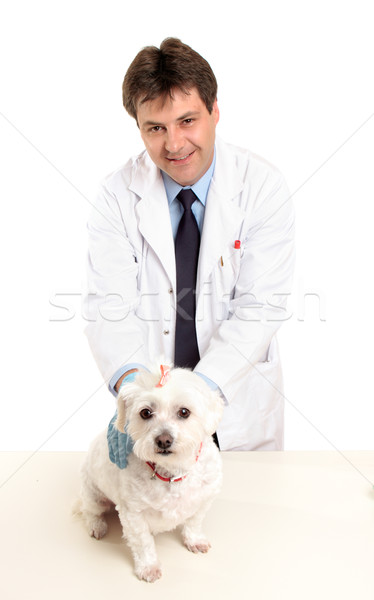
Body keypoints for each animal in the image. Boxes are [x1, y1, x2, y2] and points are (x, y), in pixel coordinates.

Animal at [75, 364, 224, 584]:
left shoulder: (204, 499)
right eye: (145, 412)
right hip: (94, 495)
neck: (172, 472)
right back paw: (97, 525)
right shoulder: (133, 515)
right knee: (90, 511)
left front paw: (194, 540)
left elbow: (194, 523)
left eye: (184, 412)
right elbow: (143, 543)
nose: (163, 440)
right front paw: (149, 567)